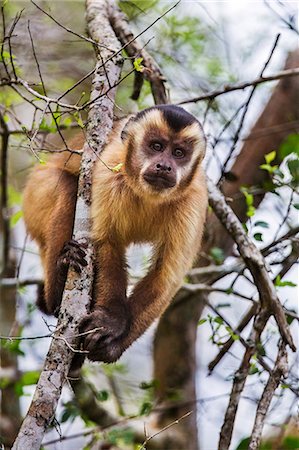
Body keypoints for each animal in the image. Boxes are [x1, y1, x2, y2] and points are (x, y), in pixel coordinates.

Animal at [23, 106, 209, 366]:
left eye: (179, 153)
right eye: (156, 146)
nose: (165, 166)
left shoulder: (194, 200)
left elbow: (166, 276)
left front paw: (113, 343)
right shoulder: (109, 169)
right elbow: (106, 243)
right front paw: (111, 319)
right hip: (35, 194)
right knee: (69, 187)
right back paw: (57, 290)